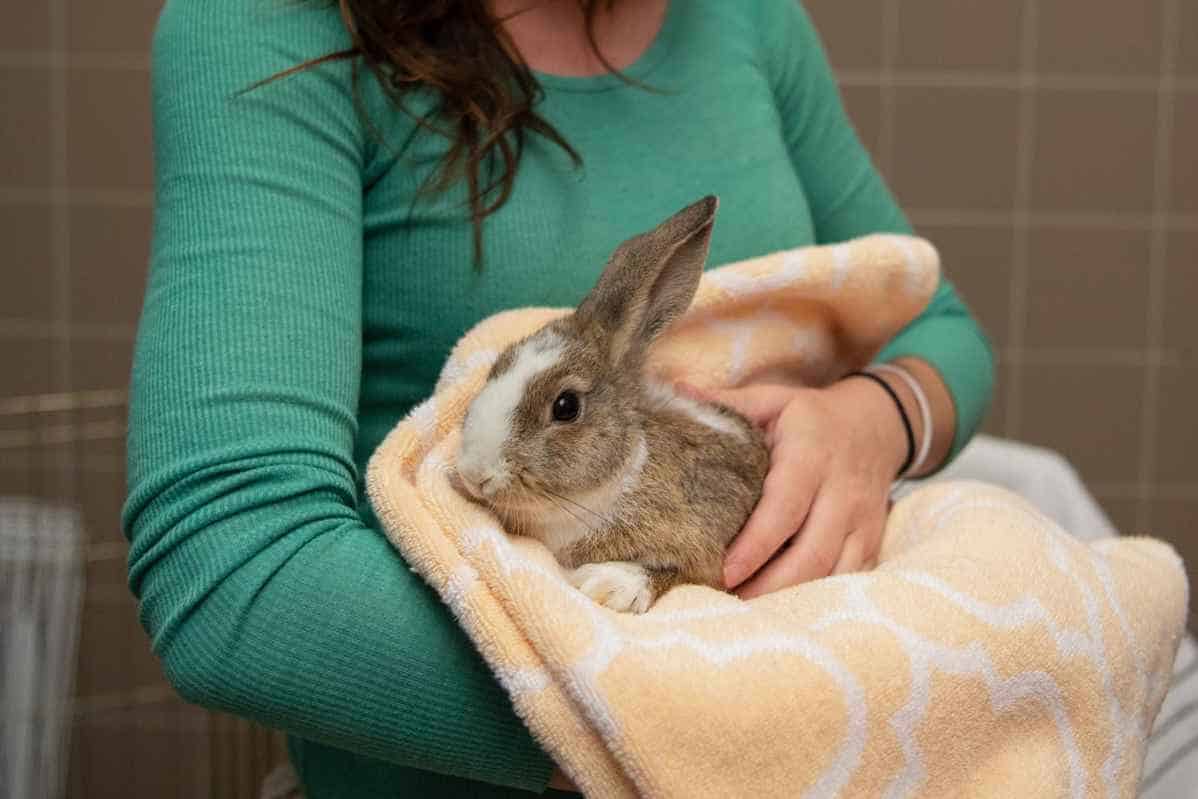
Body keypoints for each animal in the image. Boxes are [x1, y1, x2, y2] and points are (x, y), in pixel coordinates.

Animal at [452, 196, 771, 618]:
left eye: (566, 406)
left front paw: (608, 586)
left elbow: (678, 574)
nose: (474, 474)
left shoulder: (708, 548)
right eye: (499, 364)